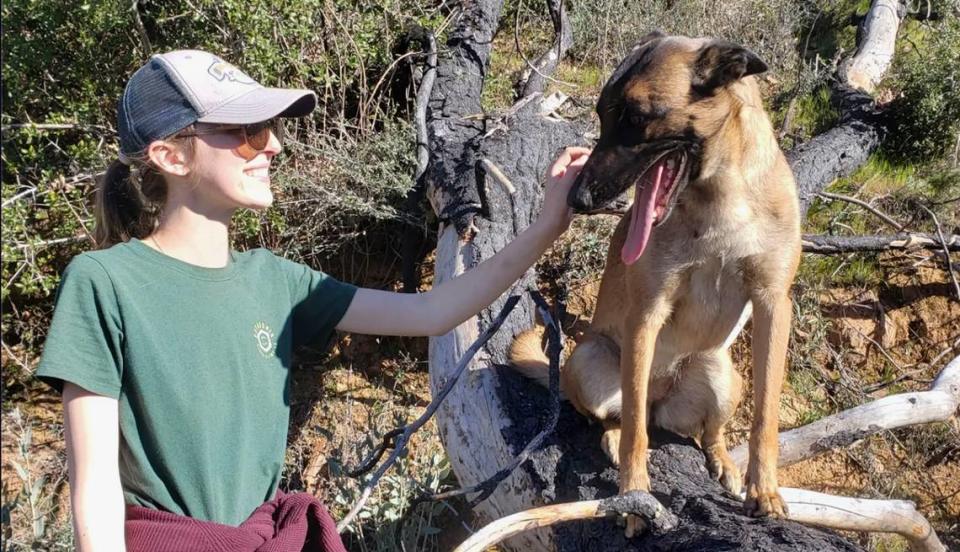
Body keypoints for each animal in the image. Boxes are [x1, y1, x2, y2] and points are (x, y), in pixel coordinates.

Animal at [510, 32, 804, 532]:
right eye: (602, 116)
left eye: (635, 118)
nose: (577, 199)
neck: (720, 199)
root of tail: (661, 398)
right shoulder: (647, 311)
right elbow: (634, 432)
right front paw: (635, 498)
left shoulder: (772, 303)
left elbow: (766, 415)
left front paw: (764, 490)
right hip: (589, 358)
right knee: (624, 416)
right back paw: (615, 436)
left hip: (722, 374)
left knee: (707, 430)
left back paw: (724, 461)